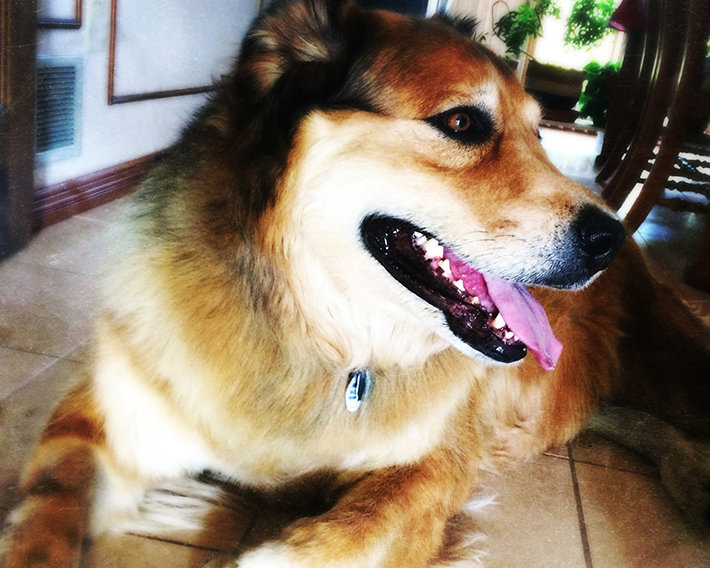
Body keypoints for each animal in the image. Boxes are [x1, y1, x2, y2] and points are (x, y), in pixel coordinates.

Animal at [2, 0, 709, 566]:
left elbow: (330, 541)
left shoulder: (428, 474)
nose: (609, 238)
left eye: (539, 134)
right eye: (461, 123)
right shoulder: (99, 419)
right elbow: (50, 504)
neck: (319, 330)